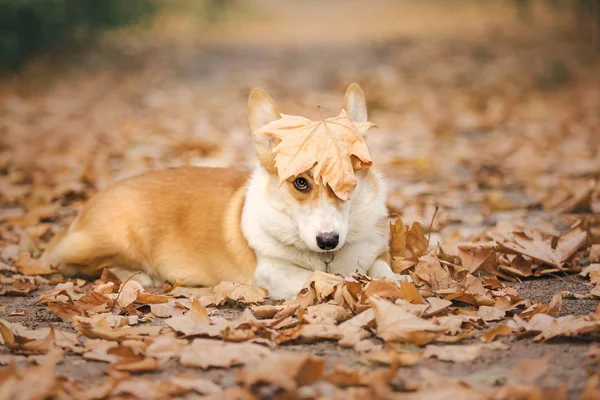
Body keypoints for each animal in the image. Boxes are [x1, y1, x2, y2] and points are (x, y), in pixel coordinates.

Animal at [49, 83, 408, 298]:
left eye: (346, 181)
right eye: (300, 182)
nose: (328, 240)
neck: (325, 258)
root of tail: (88, 205)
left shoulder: (374, 255)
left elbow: (380, 269)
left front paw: (394, 281)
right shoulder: (274, 272)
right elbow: (329, 280)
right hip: (114, 239)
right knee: (69, 263)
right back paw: (137, 276)